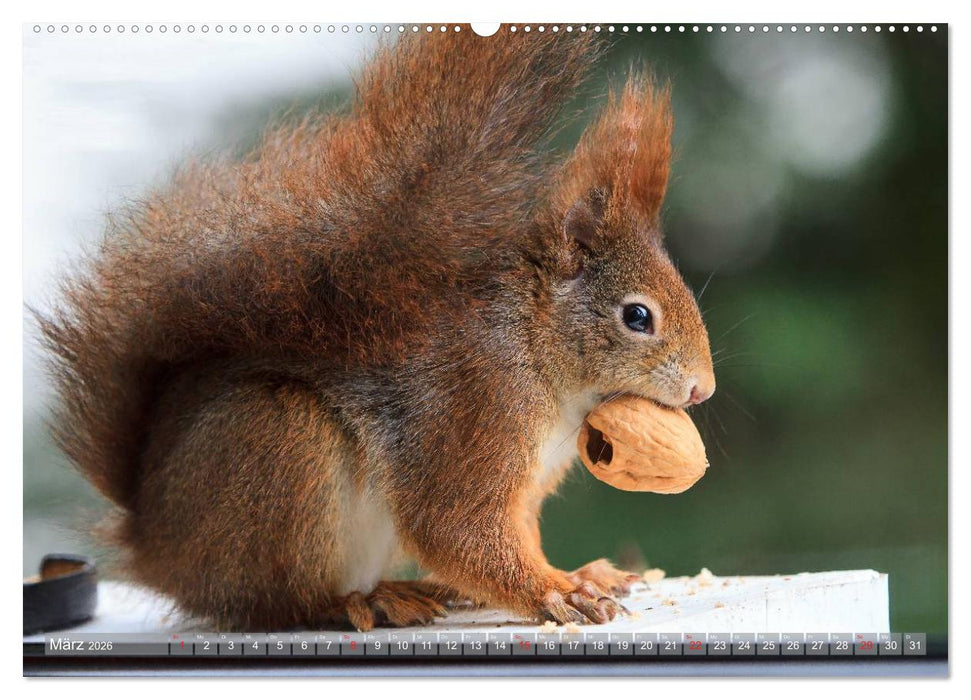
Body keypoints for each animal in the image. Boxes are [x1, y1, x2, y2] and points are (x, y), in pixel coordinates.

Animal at [39, 28, 715, 631]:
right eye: (637, 316)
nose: (701, 389)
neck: (537, 345)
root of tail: (154, 543)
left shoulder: (526, 481)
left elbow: (512, 531)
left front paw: (579, 573)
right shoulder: (472, 403)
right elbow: (452, 525)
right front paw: (556, 593)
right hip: (278, 444)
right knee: (274, 603)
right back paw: (359, 603)